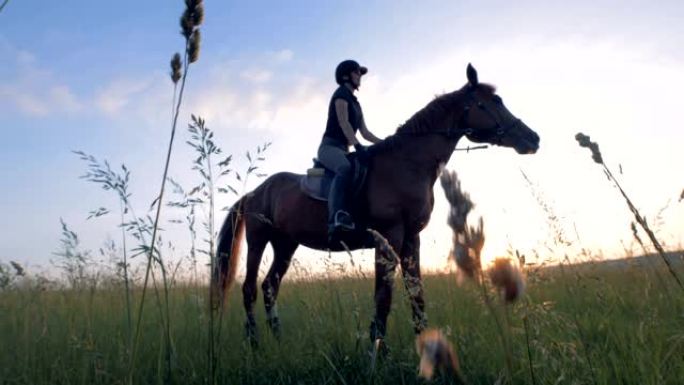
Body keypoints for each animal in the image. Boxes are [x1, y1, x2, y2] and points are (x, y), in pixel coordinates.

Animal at [214, 62, 540, 342]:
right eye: (492, 102)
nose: (533, 138)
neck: (408, 163)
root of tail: (254, 192)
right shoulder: (388, 237)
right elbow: (383, 300)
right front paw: (378, 352)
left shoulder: (411, 239)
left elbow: (416, 296)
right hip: (259, 240)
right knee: (250, 289)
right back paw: (255, 343)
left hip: (286, 244)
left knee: (270, 287)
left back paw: (278, 340)